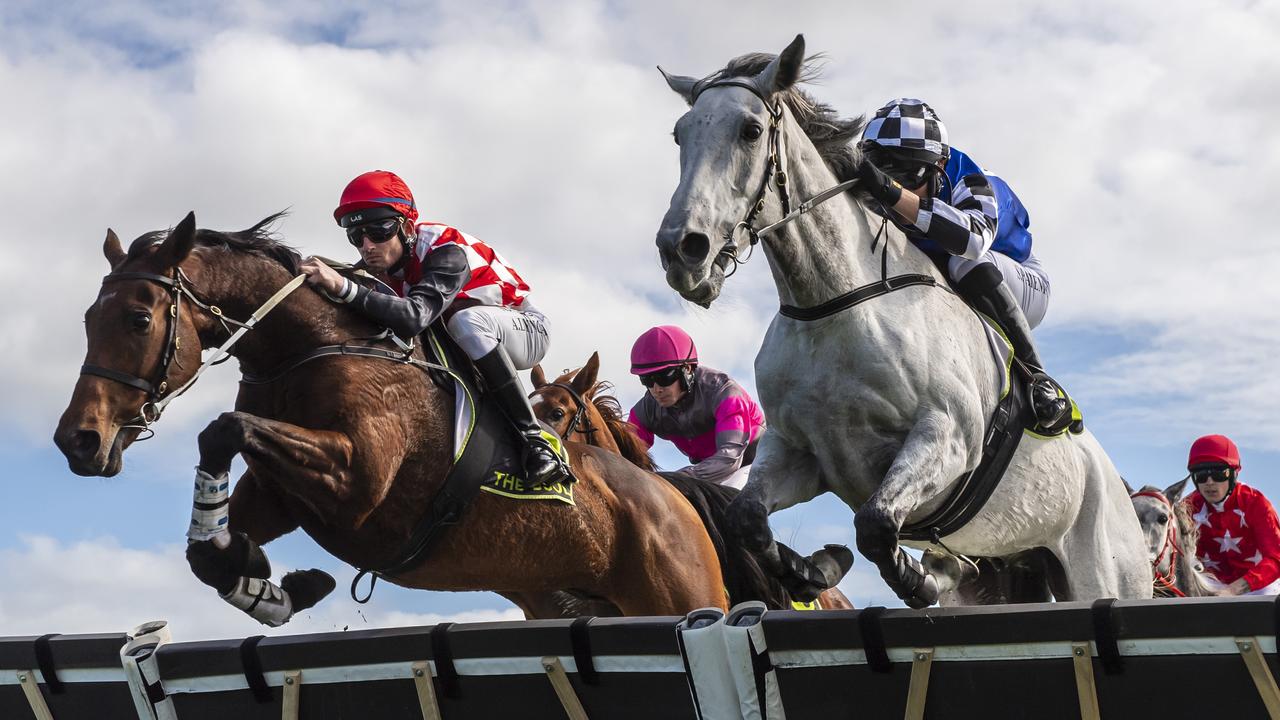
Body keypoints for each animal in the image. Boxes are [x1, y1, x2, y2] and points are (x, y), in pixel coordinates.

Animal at [52, 212, 732, 622]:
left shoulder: (358, 479)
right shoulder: (281, 495)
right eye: (87, 319)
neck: (309, 347)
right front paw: (270, 587)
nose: (78, 441)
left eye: (139, 319)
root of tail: (672, 499)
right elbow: (207, 545)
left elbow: (223, 427)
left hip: (683, 598)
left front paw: (268, 580)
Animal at [650, 33, 1152, 604]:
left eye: (751, 131)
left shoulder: (947, 437)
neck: (836, 305)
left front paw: (917, 579)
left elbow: (874, 524)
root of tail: (1121, 492)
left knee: (976, 261)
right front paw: (813, 570)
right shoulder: (799, 451)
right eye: (680, 134)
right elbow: (747, 519)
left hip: (1108, 573)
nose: (682, 250)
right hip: (1022, 565)